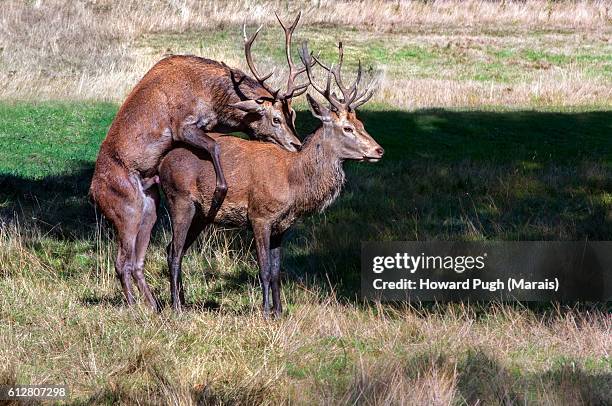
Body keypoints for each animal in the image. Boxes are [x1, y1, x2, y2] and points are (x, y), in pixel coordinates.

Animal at [87, 13, 310, 310]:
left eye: (293, 114)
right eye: (275, 118)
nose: (296, 144)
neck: (213, 99)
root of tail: (92, 193)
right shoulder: (182, 125)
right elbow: (214, 146)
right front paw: (219, 191)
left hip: (149, 205)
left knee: (137, 261)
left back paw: (155, 306)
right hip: (125, 207)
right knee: (121, 262)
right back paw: (136, 307)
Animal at [160, 39, 384, 316]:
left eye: (362, 124)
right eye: (348, 128)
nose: (379, 150)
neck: (294, 183)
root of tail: (162, 163)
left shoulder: (282, 226)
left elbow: (277, 272)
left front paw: (279, 311)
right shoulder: (260, 215)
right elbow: (264, 269)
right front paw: (265, 312)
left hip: (203, 213)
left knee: (172, 248)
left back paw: (183, 300)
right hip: (179, 199)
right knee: (174, 251)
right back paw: (176, 307)